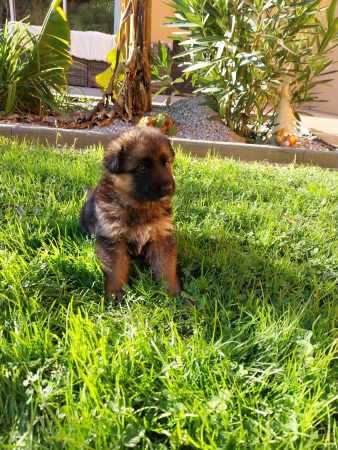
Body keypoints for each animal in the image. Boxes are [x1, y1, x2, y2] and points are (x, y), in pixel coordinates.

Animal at [79, 126, 181, 302]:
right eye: (142, 168)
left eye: (166, 163)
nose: (168, 188)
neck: (140, 207)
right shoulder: (113, 239)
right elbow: (117, 269)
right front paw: (116, 294)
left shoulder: (161, 238)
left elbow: (166, 268)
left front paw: (174, 293)